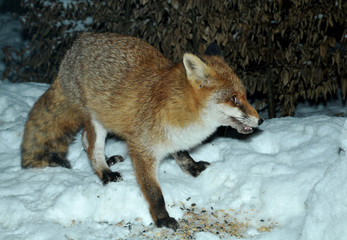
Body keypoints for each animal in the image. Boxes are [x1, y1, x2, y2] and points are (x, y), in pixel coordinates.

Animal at [21, 32, 264, 230]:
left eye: (245, 96)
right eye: (234, 99)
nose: (260, 120)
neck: (184, 111)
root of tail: (79, 42)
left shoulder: (172, 138)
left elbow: (182, 153)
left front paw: (192, 167)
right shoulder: (141, 148)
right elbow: (154, 193)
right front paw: (162, 218)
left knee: (83, 139)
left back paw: (109, 161)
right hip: (95, 120)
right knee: (92, 149)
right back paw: (105, 172)